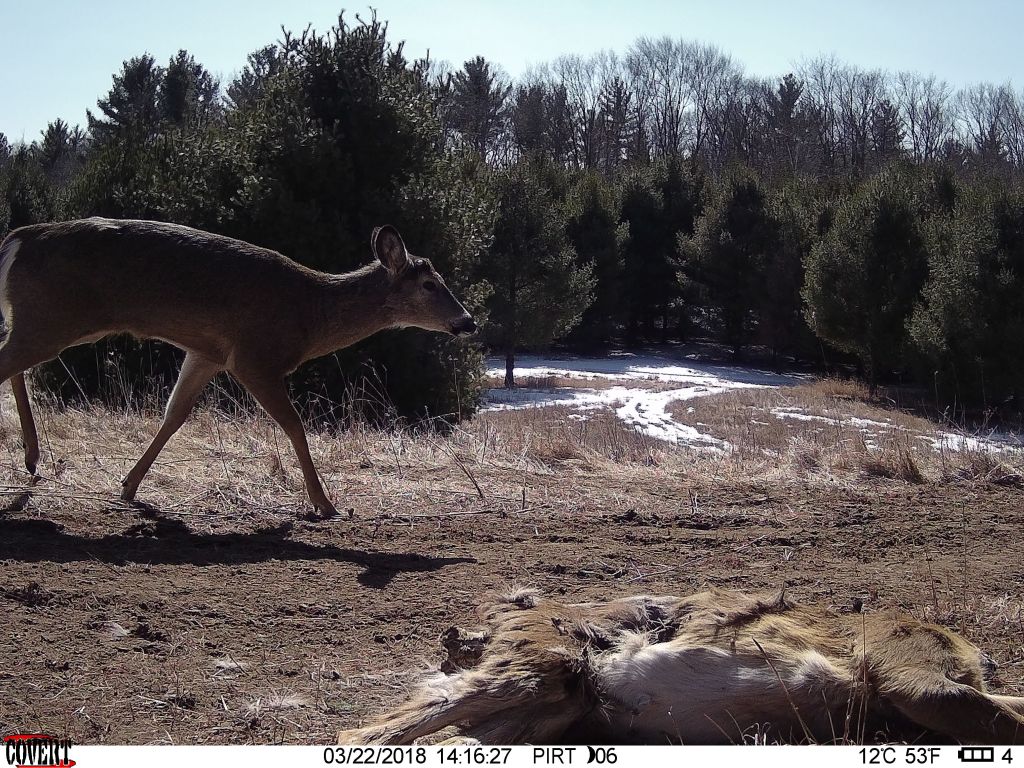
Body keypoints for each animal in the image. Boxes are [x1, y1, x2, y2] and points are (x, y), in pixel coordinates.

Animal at [0, 217, 475, 518]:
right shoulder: (254, 356)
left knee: (14, 364)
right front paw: (325, 503)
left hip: (50, 322)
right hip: (54, 316)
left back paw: (32, 456)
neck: (310, 316)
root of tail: (15, 240)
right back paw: (29, 456)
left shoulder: (207, 353)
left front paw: (129, 485)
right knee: (8, 362)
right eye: (429, 284)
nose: (467, 321)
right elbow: (294, 423)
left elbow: (175, 414)